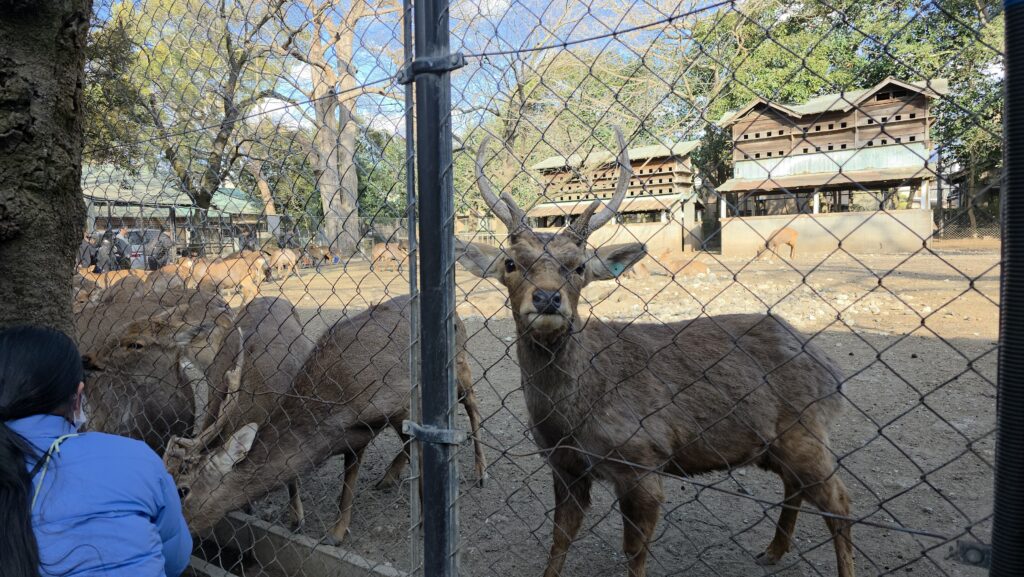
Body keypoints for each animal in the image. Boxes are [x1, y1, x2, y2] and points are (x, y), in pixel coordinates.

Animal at [456, 128, 853, 577]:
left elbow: (634, 552)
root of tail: (831, 372)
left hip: (806, 430)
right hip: (777, 444)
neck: (571, 418)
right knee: (796, 486)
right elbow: (559, 540)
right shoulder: (565, 465)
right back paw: (772, 551)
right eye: (509, 263)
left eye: (579, 267)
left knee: (840, 503)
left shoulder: (643, 459)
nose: (547, 298)